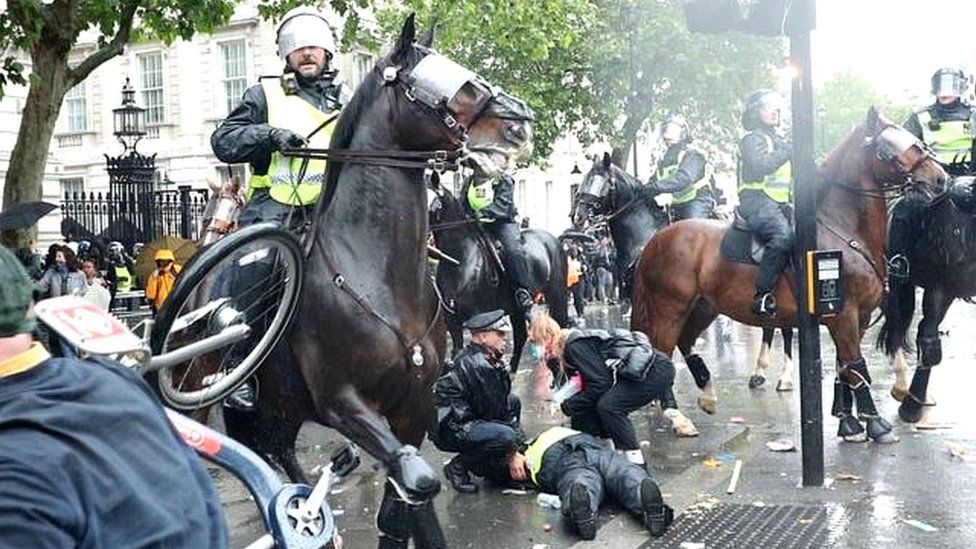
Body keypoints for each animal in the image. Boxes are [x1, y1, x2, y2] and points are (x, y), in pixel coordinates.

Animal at [223, 18, 532, 548]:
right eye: (450, 83)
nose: (520, 126)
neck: (378, 278)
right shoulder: (342, 402)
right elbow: (417, 482)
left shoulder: (414, 409)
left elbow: (402, 509)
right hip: (248, 413)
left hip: (281, 413)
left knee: (280, 456)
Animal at [428, 178, 572, 370]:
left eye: (434, 203)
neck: (460, 261)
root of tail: (555, 239)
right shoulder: (451, 320)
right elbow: (458, 352)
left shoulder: (478, 315)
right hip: (515, 308)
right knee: (520, 335)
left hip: (557, 297)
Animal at [632, 108, 944, 446]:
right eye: (888, 147)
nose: (940, 177)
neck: (843, 229)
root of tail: (656, 239)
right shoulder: (844, 315)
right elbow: (856, 366)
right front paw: (875, 424)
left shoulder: (856, 317)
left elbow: (844, 367)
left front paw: (848, 423)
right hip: (669, 307)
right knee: (662, 352)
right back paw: (677, 416)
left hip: (703, 307)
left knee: (685, 341)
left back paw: (707, 394)